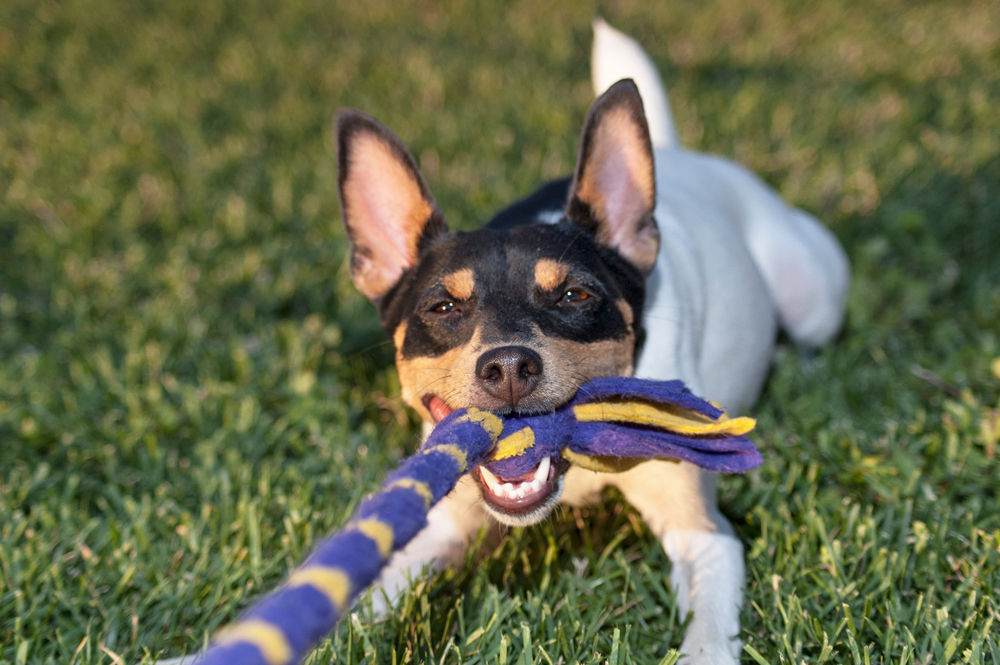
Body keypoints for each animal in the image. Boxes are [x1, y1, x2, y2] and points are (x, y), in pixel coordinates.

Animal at [334, 19, 844, 664]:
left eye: (575, 296)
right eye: (443, 307)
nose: (507, 366)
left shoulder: (705, 535)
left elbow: (707, 634)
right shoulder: (440, 515)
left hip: (813, 298)